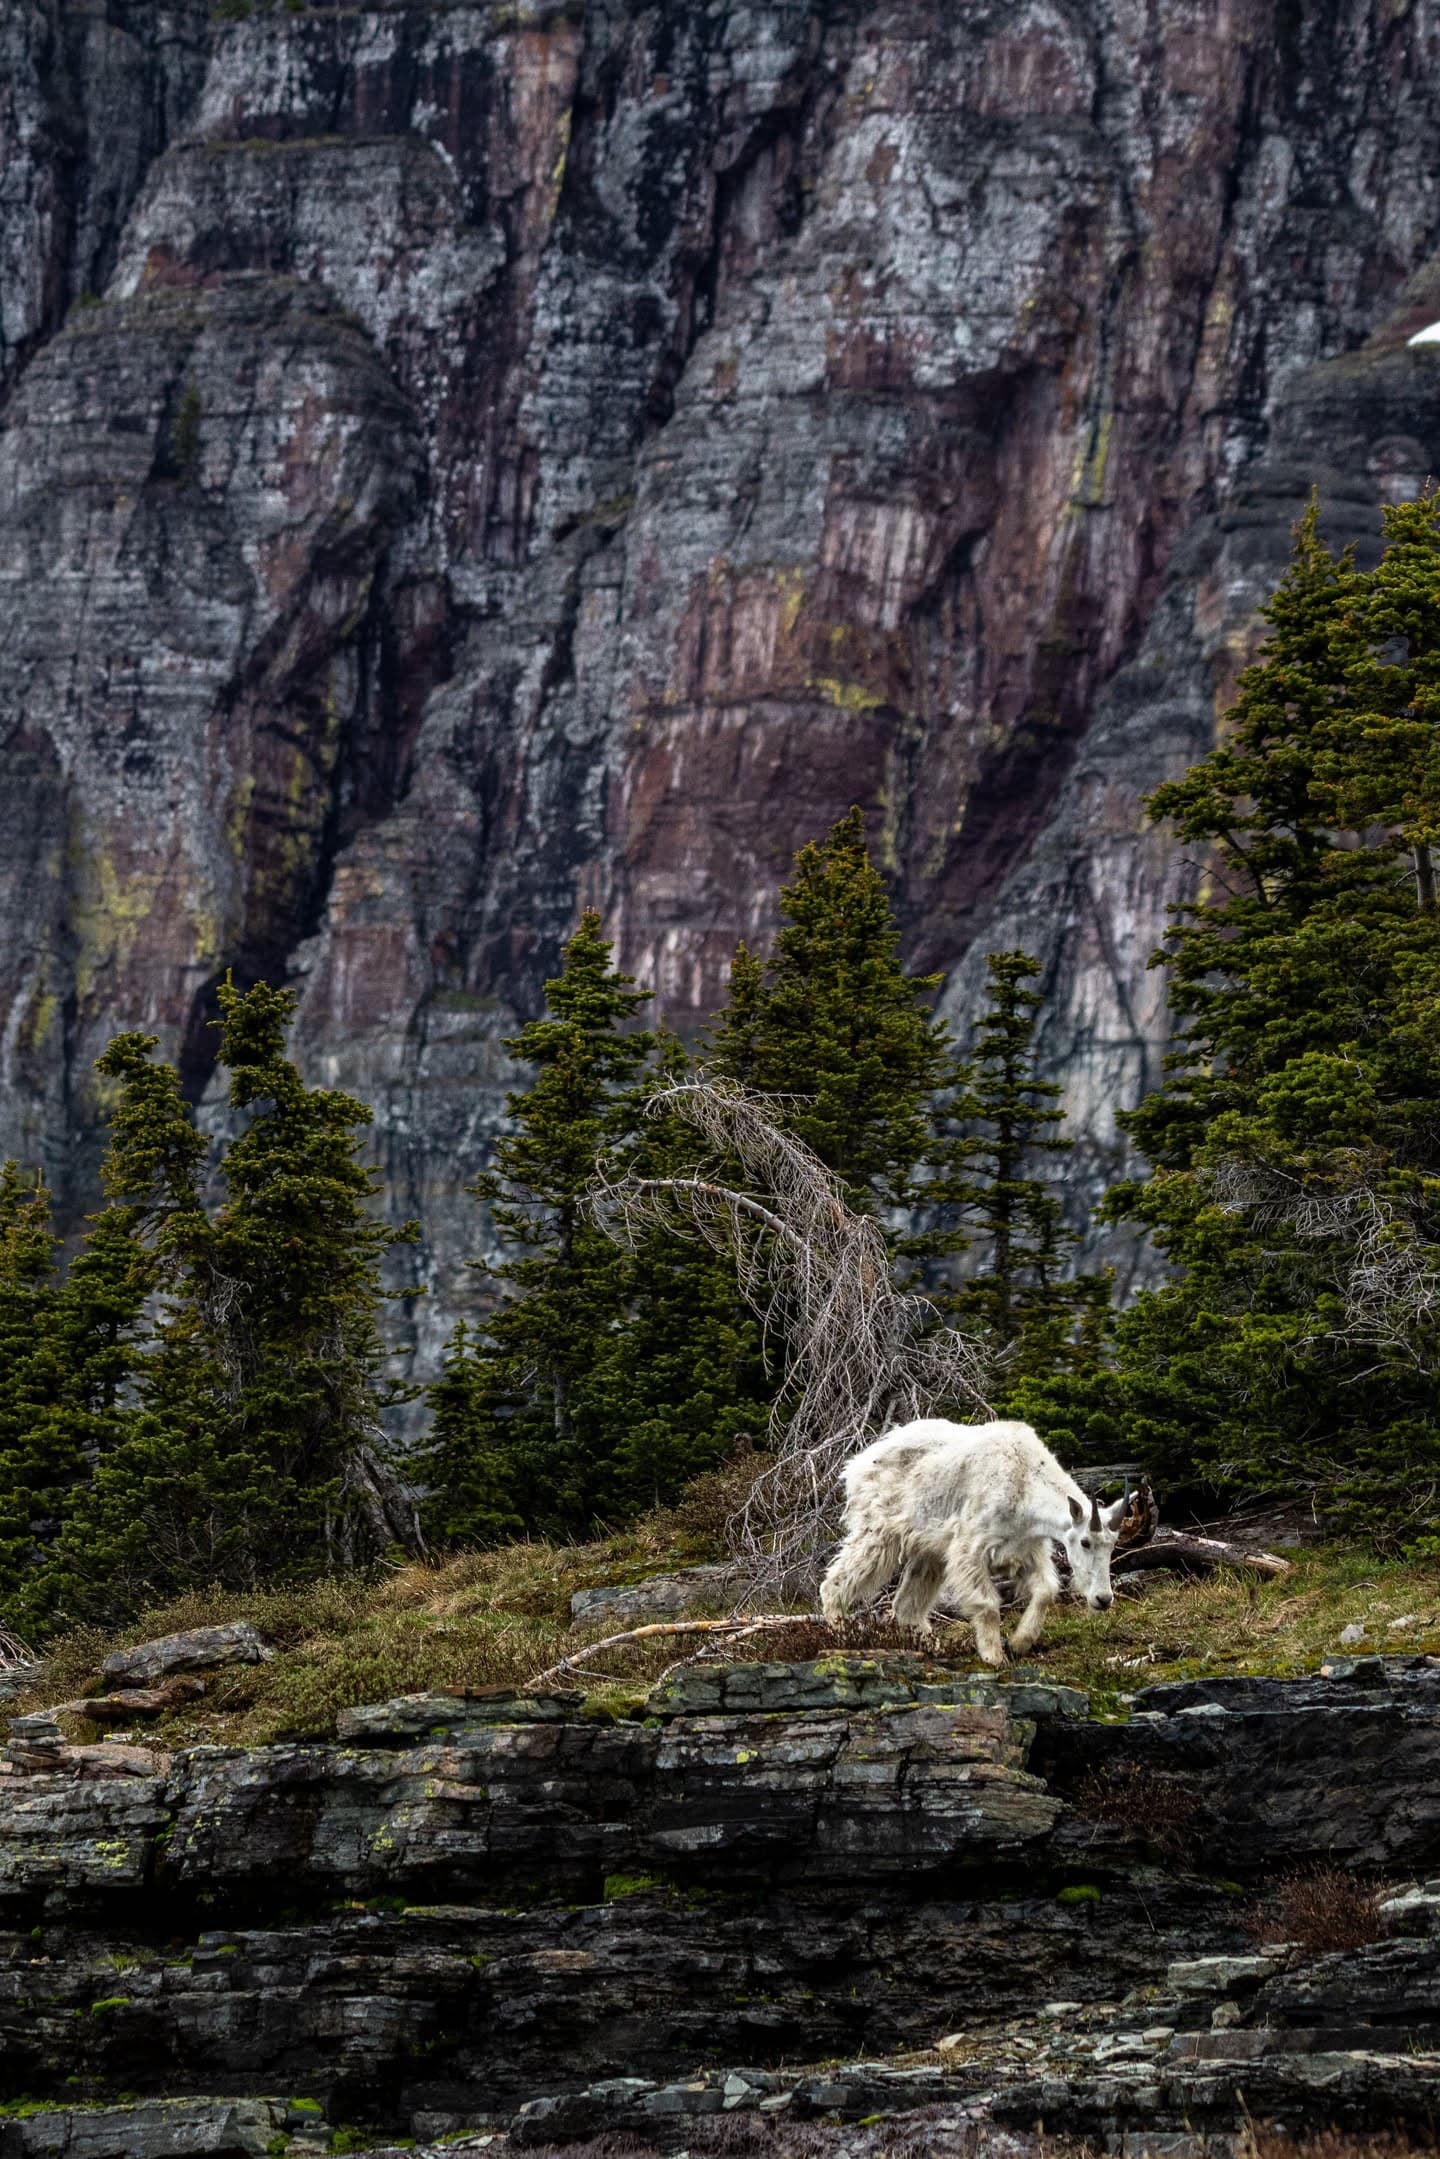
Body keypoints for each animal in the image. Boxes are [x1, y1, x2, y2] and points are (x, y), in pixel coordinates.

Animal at [819, 1416, 1129, 1667]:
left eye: (1112, 1544)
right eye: (1085, 1542)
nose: (1103, 1599)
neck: (1023, 1477)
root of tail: (857, 1465)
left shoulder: (1028, 1549)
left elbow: (1045, 1591)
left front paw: (1018, 1643)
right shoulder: (970, 1547)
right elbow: (988, 1604)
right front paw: (994, 1656)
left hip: (928, 1551)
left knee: (907, 1605)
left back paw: (935, 1647)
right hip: (878, 1531)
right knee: (835, 1583)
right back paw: (842, 1636)